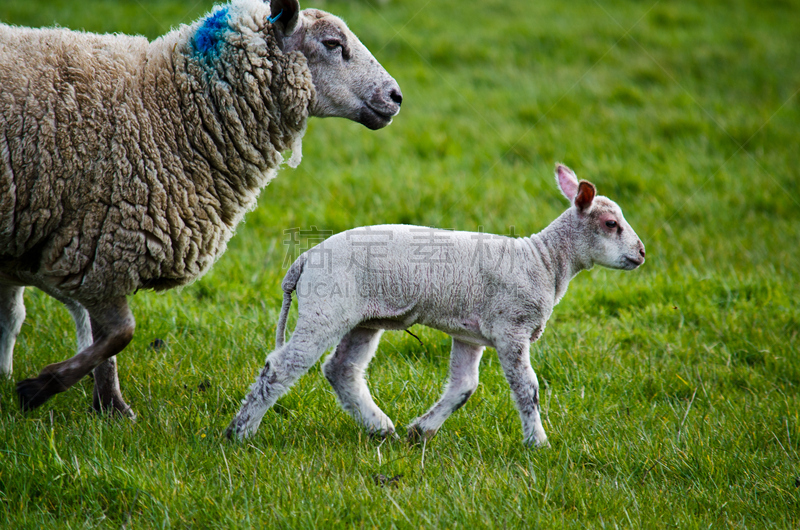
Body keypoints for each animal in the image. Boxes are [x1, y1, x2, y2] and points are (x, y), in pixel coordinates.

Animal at [0, 0, 400, 414]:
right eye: (333, 43)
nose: (395, 96)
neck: (166, 107)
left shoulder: (92, 251)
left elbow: (106, 339)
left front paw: (107, 409)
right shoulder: (101, 246)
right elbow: (119, 335)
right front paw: (48, 388)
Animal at [225, 163, 644, 444]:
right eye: (611, 224)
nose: (641, 253)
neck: (543, 260)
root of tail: (304, 258)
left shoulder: (471, 333)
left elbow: (464, 386)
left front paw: (421, 430)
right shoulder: (511, 327)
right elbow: (528, 388)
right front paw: (537, 442)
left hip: (361, 318)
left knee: (341, 369)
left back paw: (382, 428)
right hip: (325, 309)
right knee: (281, 368)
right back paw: (240, 432)